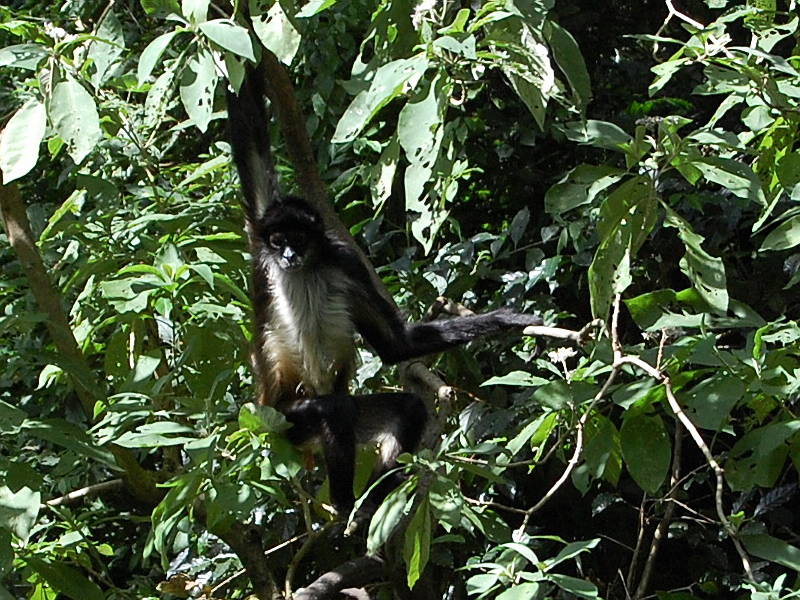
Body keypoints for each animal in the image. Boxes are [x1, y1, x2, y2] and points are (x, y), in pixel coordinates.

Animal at [225, 65, 544, 516]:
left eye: (298, 239)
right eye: (278, 240)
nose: (287, 255)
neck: (307, 269)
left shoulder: (345, 263)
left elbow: (396, 345)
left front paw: (505, 319)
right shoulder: (260, 247)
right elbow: (250, 141)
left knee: (402, 406)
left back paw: (373, 501)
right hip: (281, 419)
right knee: (334, 409)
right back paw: (346, 506)